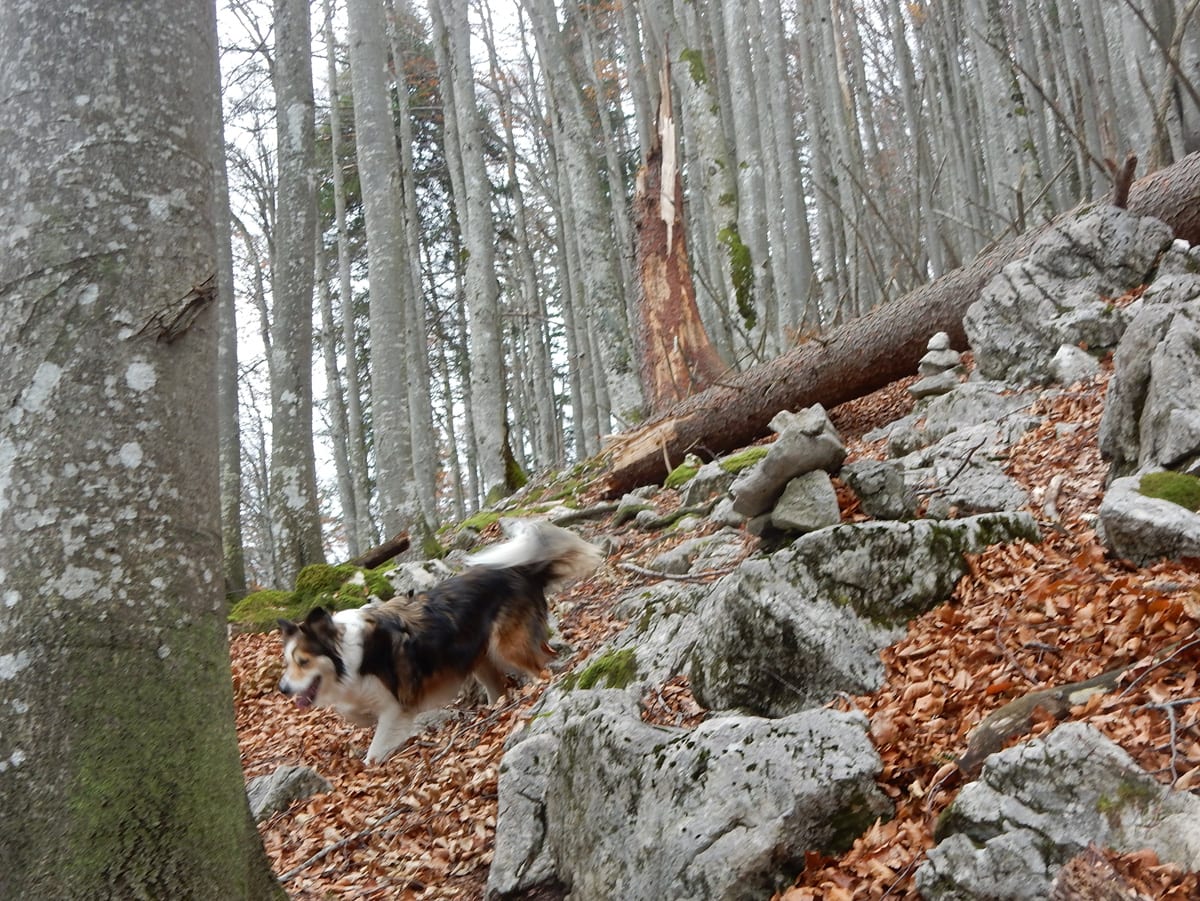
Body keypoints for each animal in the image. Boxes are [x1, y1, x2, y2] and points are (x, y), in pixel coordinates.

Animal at [277, 520, 602, 763]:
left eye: (303, 661)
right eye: (288, 663)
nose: (283, 689)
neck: (349, 654)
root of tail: (522, 570)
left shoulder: (396, 707)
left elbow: (376, 746)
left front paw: (373, 761)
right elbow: (355, 714)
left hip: (507, 647)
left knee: (543, 668)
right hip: (481, 660)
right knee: (509, 682)